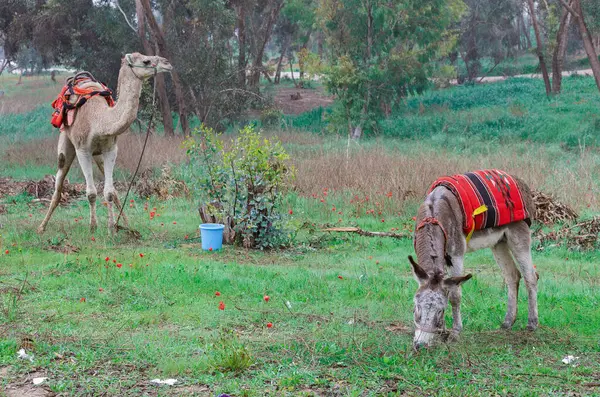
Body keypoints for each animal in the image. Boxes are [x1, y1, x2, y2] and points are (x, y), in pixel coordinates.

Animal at [38, 51, 172, 234]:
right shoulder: (83, 150)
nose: (167, 63)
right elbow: (91, 192)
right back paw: (41, 226)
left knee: (113, 190)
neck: (100, 120)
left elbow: (108, 191)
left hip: (98, 155)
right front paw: (93, 227)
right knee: (58, 183)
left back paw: (127, 225)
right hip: (66, 140)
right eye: (146, 61)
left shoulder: (110, 150)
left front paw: (111, 228)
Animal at [410, 170, 536, 346]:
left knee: (531, 276)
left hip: (518, 232)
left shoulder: (456, 254)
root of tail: (518, 180)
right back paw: (507, 322)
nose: (421, 345)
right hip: (499, 242)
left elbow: (455, 295)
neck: (433, 215)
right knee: (513, 276)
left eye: (441, 310)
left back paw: (532, 323)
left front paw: (455, 333)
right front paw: (442, 332)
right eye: (416, 307)